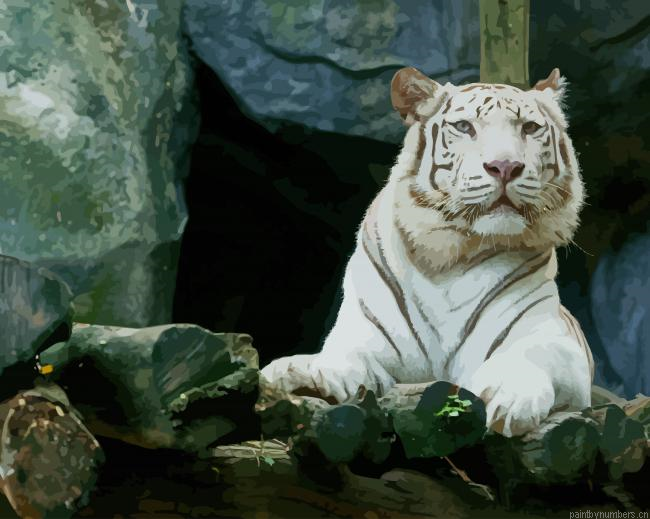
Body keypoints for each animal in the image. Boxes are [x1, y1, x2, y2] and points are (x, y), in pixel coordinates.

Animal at [261, 67, 594, 437]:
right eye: (464, 126)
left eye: (530, 128)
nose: (505, 166)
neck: (451, 256)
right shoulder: (367, 333)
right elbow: (344, 354)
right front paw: (315, 375)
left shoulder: (554, 338)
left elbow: (531, 354)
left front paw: (510, 397)